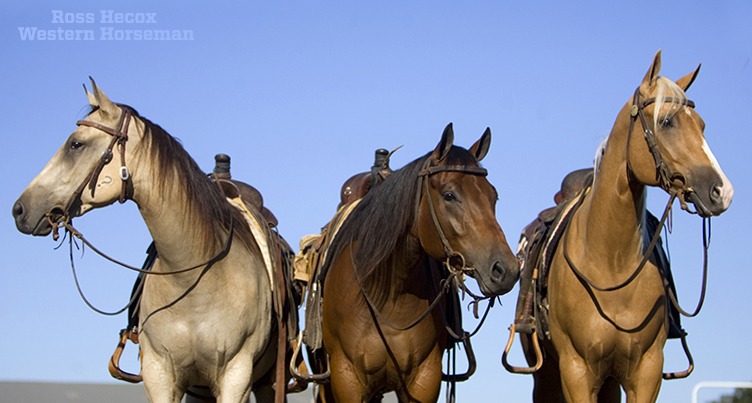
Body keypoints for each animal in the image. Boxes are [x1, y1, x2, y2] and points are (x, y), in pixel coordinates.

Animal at [12, 79, 285, 403]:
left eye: (75, 144)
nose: (19, 209)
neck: (195, 277)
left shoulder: (236, 376)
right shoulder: (159, 375)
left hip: (263, 383)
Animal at [317, 123, 520, 402]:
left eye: (494, 196)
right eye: (449, 195)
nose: (506, 269)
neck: (389, 299)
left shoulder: (425, 378)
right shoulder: (346, 379)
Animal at [516, 51, 733, 402]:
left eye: (701, 125)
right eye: (666, 121)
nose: (722, 191)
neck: (612, 266)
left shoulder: (646, 371)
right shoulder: (576, 371)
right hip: (547, 374)